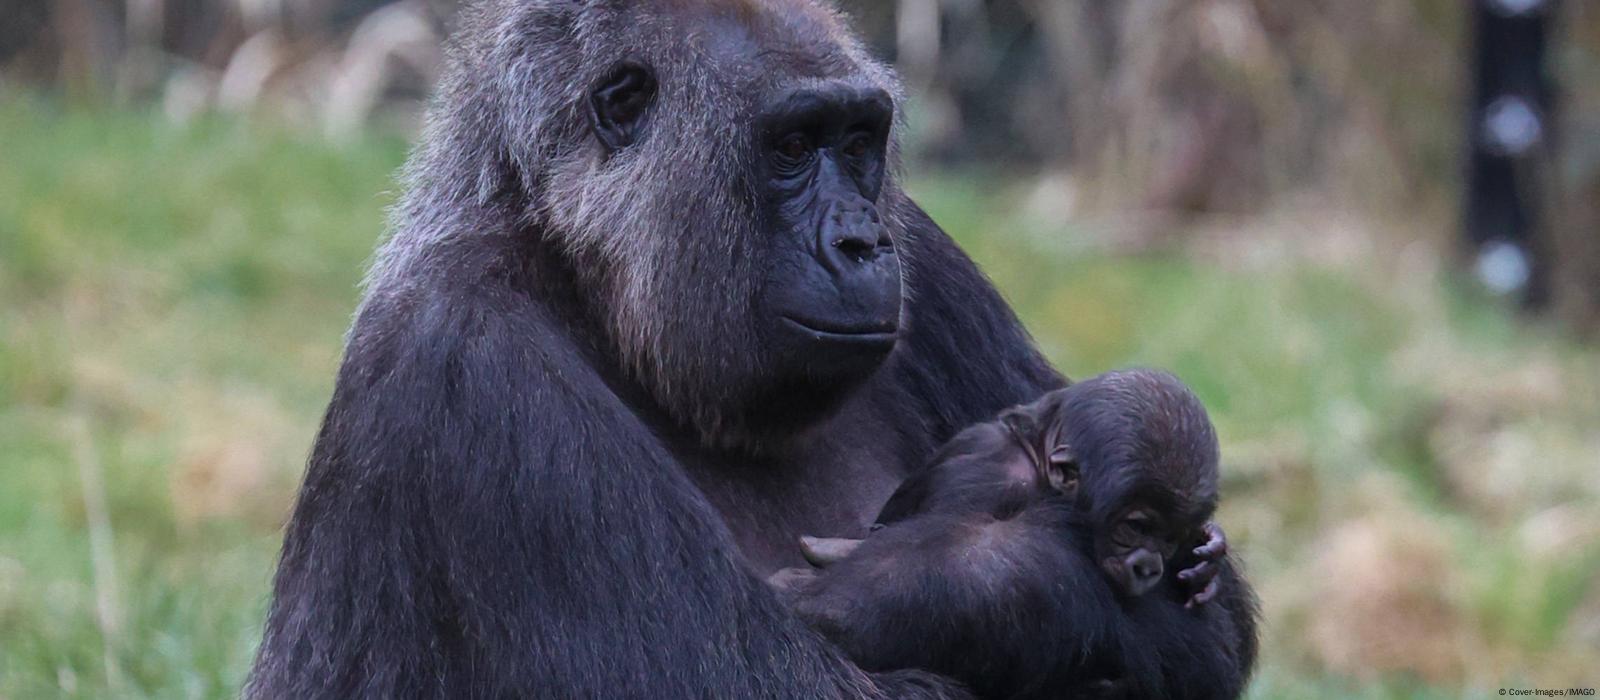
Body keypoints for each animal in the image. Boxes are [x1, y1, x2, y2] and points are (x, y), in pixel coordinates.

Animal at [768, 369, 1254, 696]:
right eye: (1136, 527)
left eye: (1170, 537)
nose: (1150, 565)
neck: (1037, 458)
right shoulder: (981, 482)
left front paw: (1208, 555)